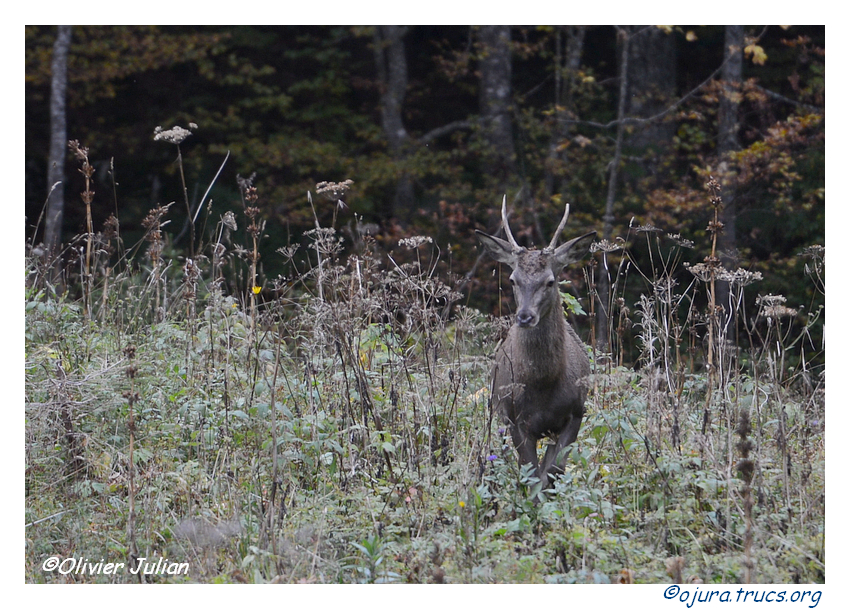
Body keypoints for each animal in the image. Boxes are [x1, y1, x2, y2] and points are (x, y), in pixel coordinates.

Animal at [474, 197, 592, 492]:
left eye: (550, 281)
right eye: (513, 279)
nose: (525, 316)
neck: (544, 385)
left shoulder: (576, 413)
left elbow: (553, 471)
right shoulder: (515, 419)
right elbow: (531, 475)